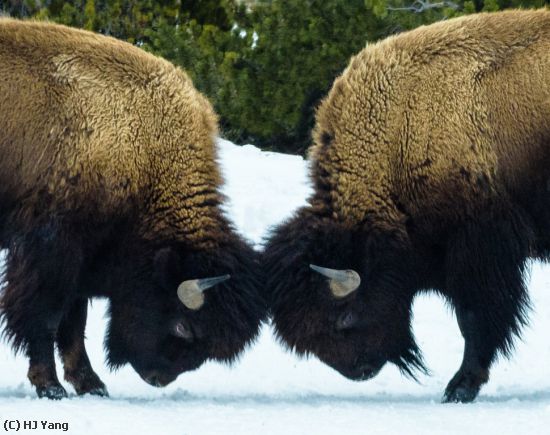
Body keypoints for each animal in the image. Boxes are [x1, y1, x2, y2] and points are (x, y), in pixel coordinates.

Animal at [0, 18, 268, 400]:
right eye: (183, 326)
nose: (158, 377)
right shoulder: (53, 250)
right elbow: (47, 317)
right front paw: (51, 386)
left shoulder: (84, 260)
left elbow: (73, 323)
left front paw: (91, 384)